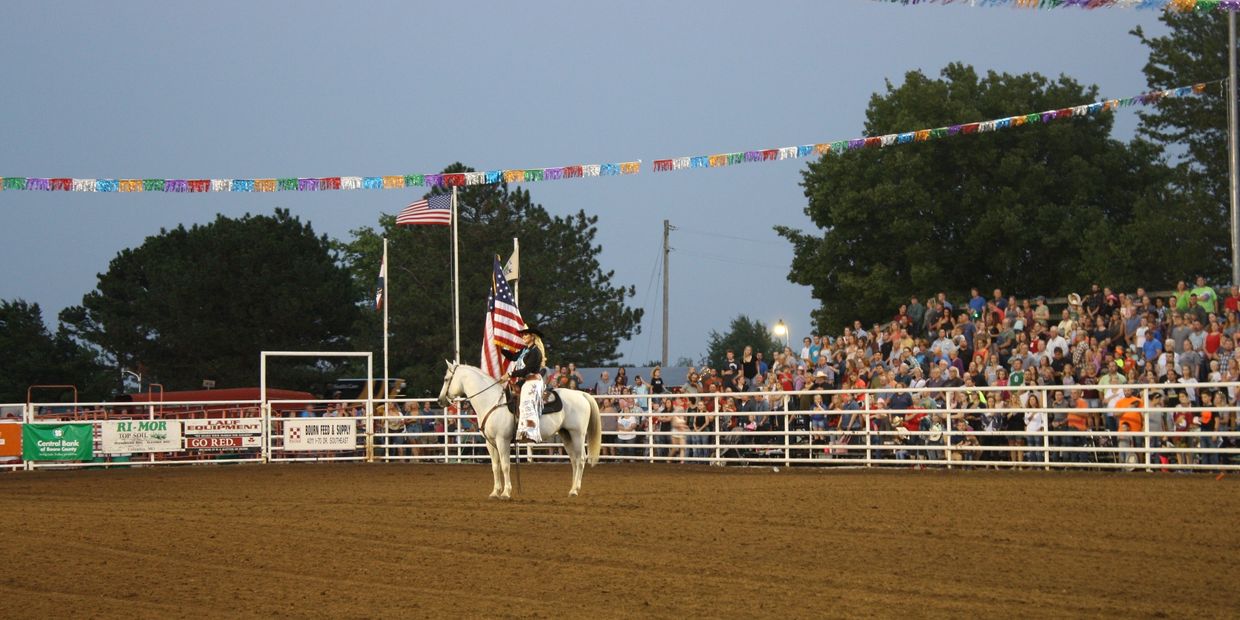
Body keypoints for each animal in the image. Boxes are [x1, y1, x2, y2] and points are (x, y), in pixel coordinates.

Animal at [438, 359, 602, 498]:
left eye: (446, 379)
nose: (440, 401)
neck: (492, 401)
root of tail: (581, 394)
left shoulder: (502, 440)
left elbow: (505, 466)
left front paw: (506, 492)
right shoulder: (490, 443)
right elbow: (495, 466)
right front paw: (495, 492)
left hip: (578, 434)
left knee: (581, 459)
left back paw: (575, 490)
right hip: (566, 434)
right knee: (574, 460)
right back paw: (572, 488)